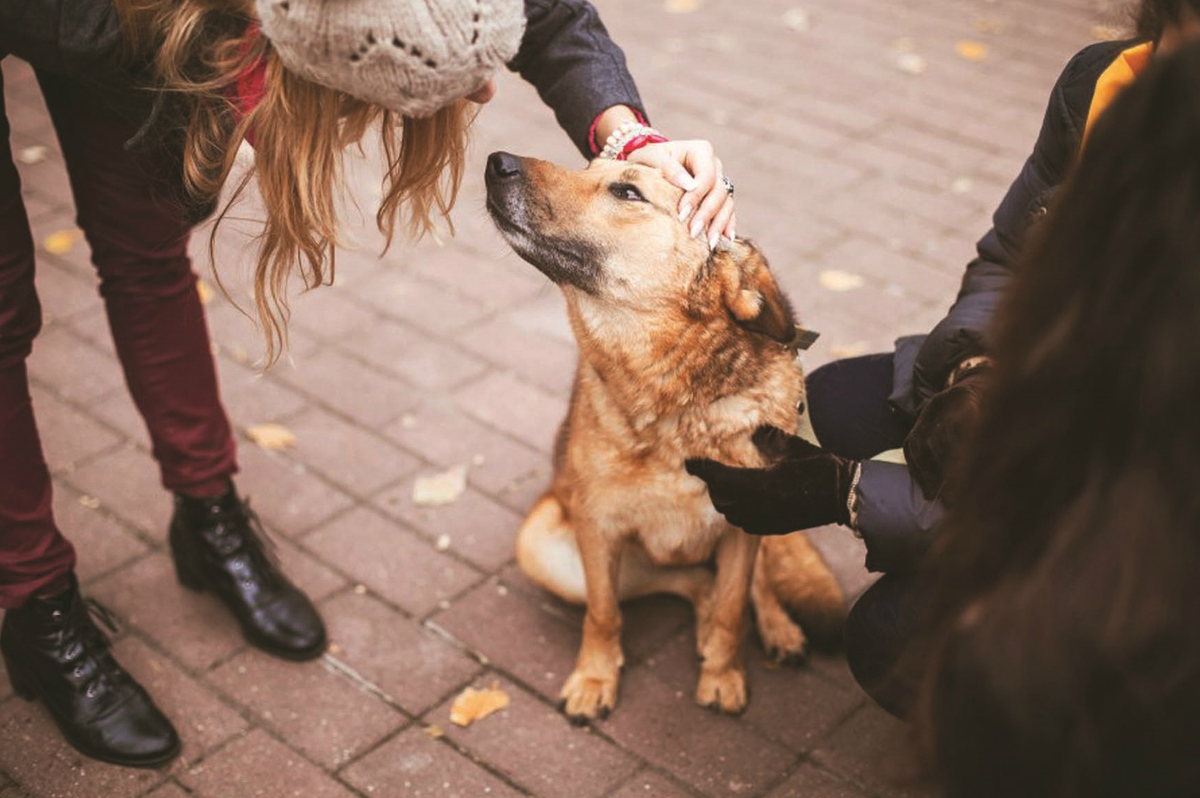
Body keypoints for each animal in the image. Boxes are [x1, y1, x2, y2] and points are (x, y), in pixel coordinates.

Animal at [484, 151, 844, 720]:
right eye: (588, 165)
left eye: (628, 192)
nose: (497, 161)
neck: (676, 407)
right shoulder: (598, 527)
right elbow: (605, 614)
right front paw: (595, 677)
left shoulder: (745, 525)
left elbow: (734, 607)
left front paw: (723, 674)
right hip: (543, 545)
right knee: (693, 583)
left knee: (750, 585)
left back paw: (777, 628)